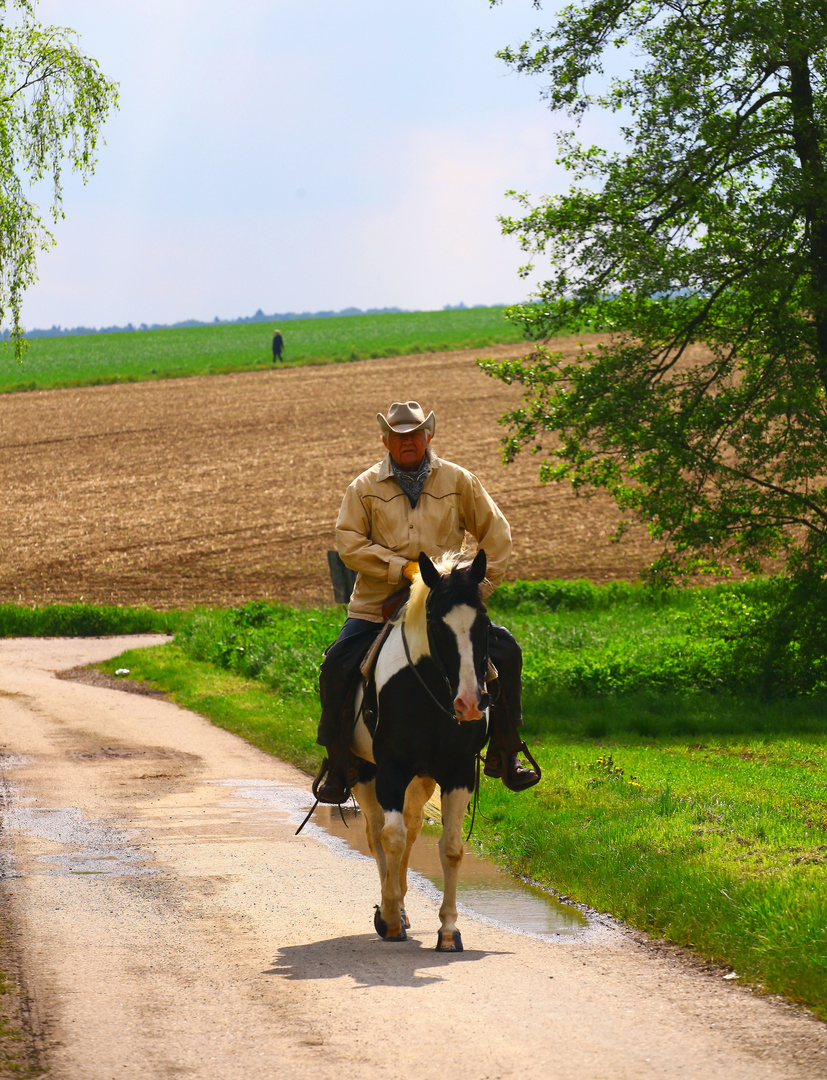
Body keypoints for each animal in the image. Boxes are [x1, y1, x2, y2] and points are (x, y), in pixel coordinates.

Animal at [349, 552, 492, 950]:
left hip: (423, 778)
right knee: (377, 832)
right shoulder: (390, 769)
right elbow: (391, 838)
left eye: (484, 622)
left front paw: (449, 931)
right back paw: (392, 908)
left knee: (412, 826)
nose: (470, 704)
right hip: (363, 772)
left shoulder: (458, 771)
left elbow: (451, 847)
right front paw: (389, 918)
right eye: (438, 627)